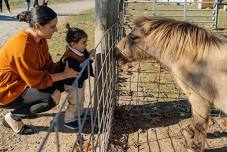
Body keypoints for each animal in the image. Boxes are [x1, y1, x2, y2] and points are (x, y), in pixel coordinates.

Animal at [116, 16, 227, 151]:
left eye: (133, 37)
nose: (115, 51)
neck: (198, 60)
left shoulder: (200, 100)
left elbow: (199, 124)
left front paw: (194, 146)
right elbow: (195, 120)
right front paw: (188, 132)